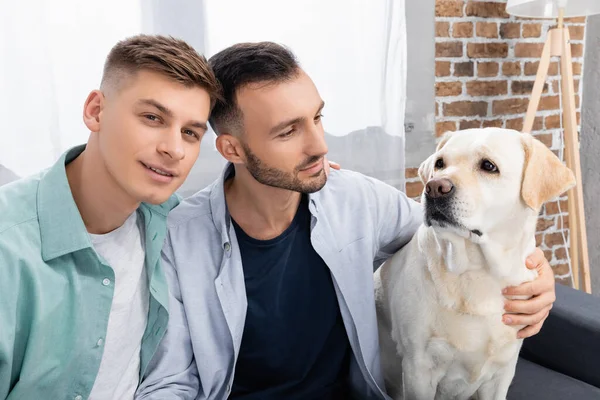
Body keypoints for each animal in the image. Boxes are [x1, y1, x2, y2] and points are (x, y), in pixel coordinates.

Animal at [376, 129, 576, 400]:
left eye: (488, 166)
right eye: (439, 163)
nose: (435, 187)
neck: (477, 271)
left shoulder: (502, 372)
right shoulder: (419, 369)